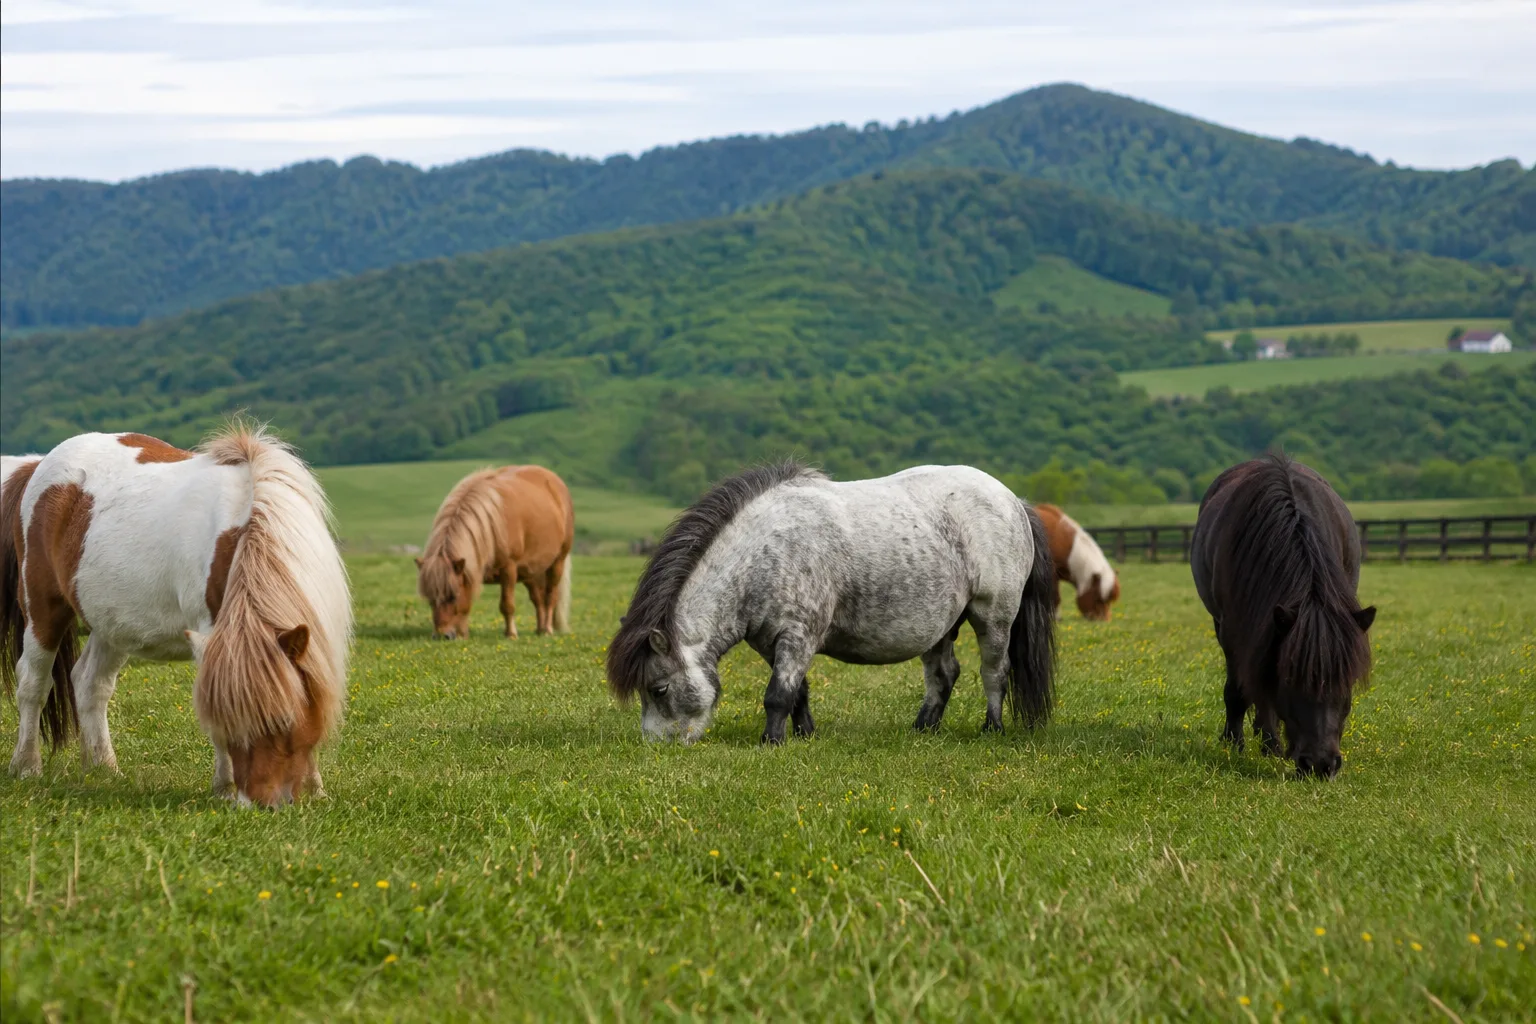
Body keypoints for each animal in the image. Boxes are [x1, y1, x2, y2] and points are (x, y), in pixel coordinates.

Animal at [1, 427, 352, 806]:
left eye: (285, 720)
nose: (259, 804)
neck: (247, 517)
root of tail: (38, 467)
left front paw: (315, 789)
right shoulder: (210, 633)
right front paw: (225, 788)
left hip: (113, 624)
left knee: (89, 684)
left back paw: (103, 768)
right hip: (42, 607)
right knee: (33, 683)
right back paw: (27, 766)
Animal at [416, 465, 573, 639]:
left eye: (453, 596)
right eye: (430, 599)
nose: (441, 636)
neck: (491, 529)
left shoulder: (509, 569)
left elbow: (507, 605)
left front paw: (511, 634)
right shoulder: (472, 572)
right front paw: (463, 634)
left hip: (557, 562)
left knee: (550, 596)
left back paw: (547, 630)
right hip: (531, 570)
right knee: (538, 599)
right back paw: (539, 629)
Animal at [606, 462, 1056, 744]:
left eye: (659, 689)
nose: (656, 746)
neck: (765, 552)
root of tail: (1014, 501)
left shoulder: (798, 635)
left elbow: (777, 694)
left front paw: (770, 742)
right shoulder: (773, 642)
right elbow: (797, 692)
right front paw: (805, 735)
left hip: (993, 616)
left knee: (994, 673)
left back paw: (991, 728)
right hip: (942, 625)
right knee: (943, 675)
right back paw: (922, 730)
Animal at [1190, 453, 1375, 778]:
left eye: (1346, 683)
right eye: (1292, 681)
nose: (1321, 765)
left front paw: (1269, 742)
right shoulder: (1233, 629)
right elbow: (1238, 689)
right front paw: (1234, 743)